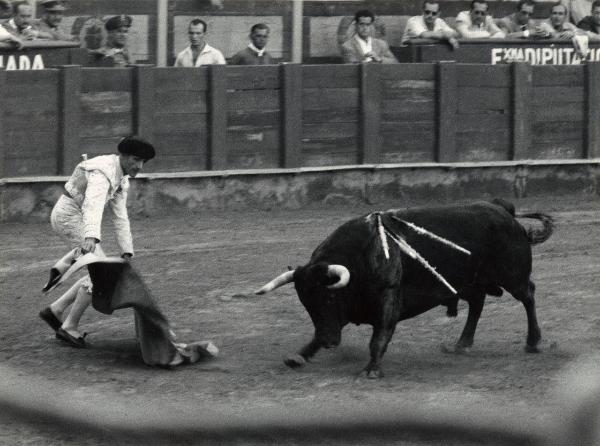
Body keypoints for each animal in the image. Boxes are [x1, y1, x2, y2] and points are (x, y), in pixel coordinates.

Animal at [254, 200, 552, 378]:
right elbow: (320, 333)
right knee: (477, 303)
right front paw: (299, 356)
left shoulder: (388, 300)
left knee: (528, 296)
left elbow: (378, 338)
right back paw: (461, 345)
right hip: (468, 283)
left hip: (513, 277)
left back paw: (533, 342)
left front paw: (371, 370)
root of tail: (503, 210)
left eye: (329, 297)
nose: (329, 342)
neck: (359, 258)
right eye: (307, 304)